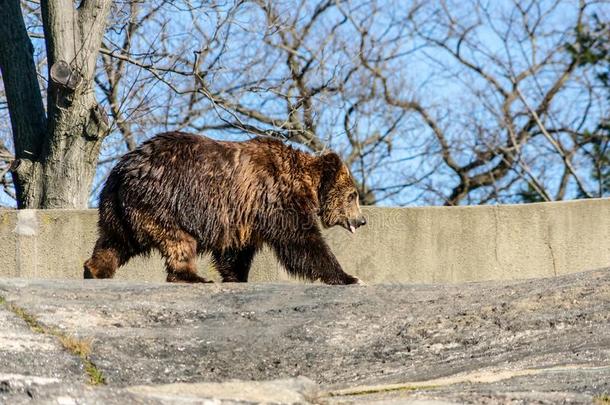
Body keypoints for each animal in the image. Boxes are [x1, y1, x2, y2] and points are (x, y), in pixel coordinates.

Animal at [82, 133, 364, 284]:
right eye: (353, 195)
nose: (362, 221)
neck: (303, 182)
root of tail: (124, 167)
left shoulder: (244, 214)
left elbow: (235, 252)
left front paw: (236, 276)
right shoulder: (275, 199)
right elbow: (301, 241)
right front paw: (349, 277)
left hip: (119, 206)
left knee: (115, 240)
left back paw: (95, 269)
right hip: (163, 200)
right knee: (179, 241)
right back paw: (192, 276)